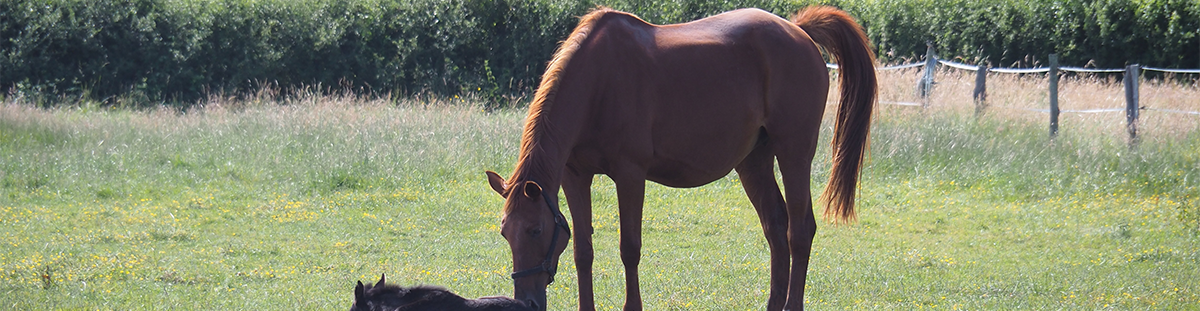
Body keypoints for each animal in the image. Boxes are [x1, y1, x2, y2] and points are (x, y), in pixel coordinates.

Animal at [482, 5, 878, 311]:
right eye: (505, 232)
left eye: (534, 230)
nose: (526, 302)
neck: (597, 83)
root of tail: (799, 31)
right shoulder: (575, 176)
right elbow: (583, 251)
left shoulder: (630, 174)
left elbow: (630, 248)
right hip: (754, 162)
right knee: (776, 226)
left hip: (794, 152)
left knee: (800, 230)